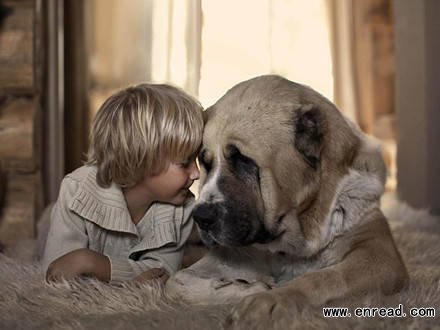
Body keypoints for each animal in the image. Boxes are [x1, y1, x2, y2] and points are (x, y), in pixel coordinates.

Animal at [167, 76, 408, 328]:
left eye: (243, 160)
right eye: (205, 163)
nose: (201, 217)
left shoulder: (380, 256)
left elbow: (324, 277)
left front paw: (271, 299)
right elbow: (174, 283)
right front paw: (249, 288)